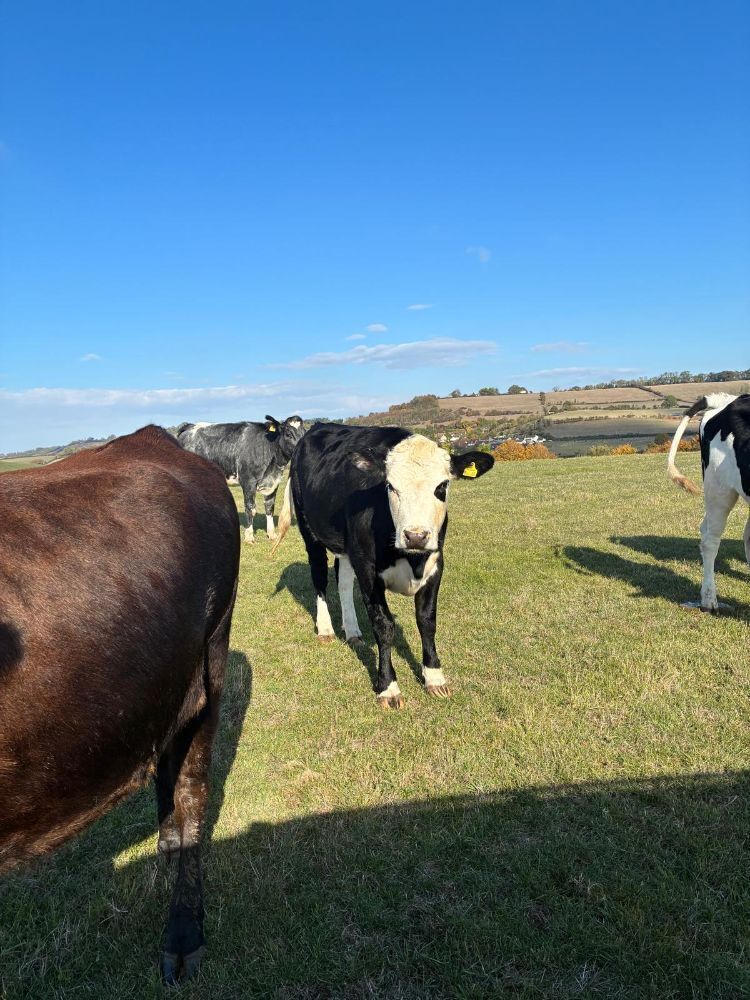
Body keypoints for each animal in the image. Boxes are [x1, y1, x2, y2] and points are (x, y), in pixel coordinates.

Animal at [176, 415, 305, 543]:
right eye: (288, 434)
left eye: (304, 432)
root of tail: (189, 426)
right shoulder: (248, 481)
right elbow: (250, 508)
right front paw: (249, 536)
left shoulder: (274, 482)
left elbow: (269, 507)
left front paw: (272, 534)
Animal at [272, 423, 494, 708]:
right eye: (390, 486)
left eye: (442, 486)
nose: (416, 536)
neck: (412, 559)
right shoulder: (368, 570)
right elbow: (384, 625)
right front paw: (388, 687)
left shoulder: (436, 564)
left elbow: (427, 621)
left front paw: (434, 677)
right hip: (310, 531)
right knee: (319, 576)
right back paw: (325, 628)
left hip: (347, 547)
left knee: (343, 581)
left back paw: (352, 630)